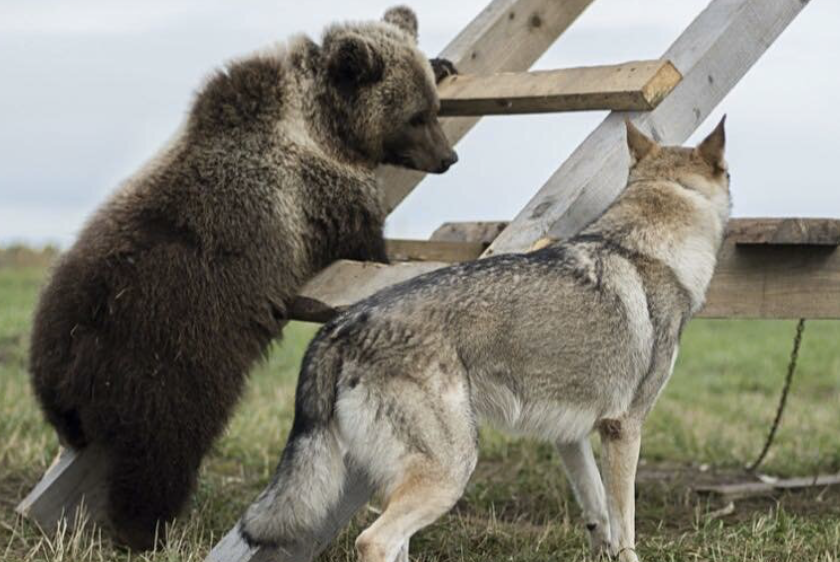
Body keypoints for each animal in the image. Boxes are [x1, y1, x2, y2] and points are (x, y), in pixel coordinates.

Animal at [29, 4, 456, 548]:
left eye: (434, 107)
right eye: (416, 116)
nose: (447, 158)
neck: (324, 125)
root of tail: (71, 351)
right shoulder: (325, 197)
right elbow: (365, 244)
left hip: (59, 345)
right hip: (170, 361)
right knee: (160, 452)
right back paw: (147, 529)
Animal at [238, 116, 728, 556]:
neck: (646, 248)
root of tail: (342, 325)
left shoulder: (570, 435)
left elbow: (598, 515)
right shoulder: (624, 428)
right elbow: (625, 524)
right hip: (450, 472)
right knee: (373, 540)